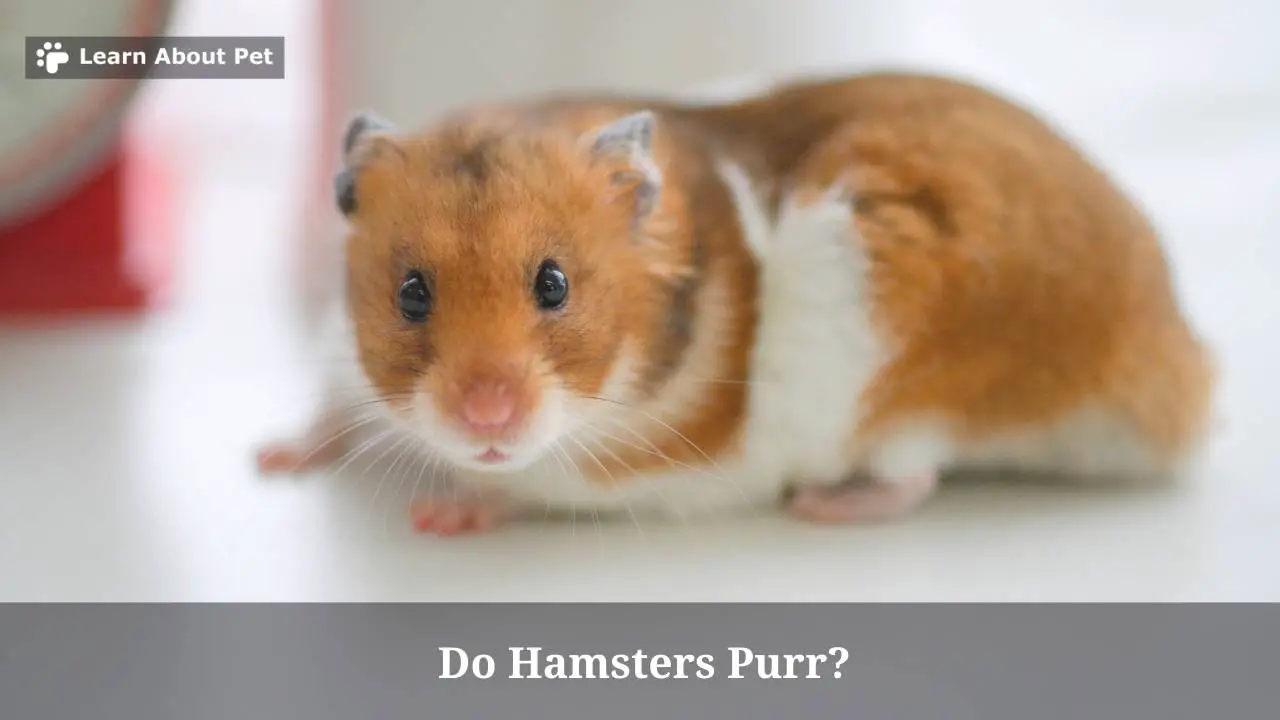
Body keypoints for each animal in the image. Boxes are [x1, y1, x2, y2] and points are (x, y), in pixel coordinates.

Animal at [258, 71, 1215, 535]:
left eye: (554, 283)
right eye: (410, 292)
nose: (486, 417)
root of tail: (1179, 359)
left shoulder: (657, 470)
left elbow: (535, 486)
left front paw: (441, 515)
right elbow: (332, 405)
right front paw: (271, 460)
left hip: (905, 380)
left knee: (913, 475)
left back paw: (824, 508)